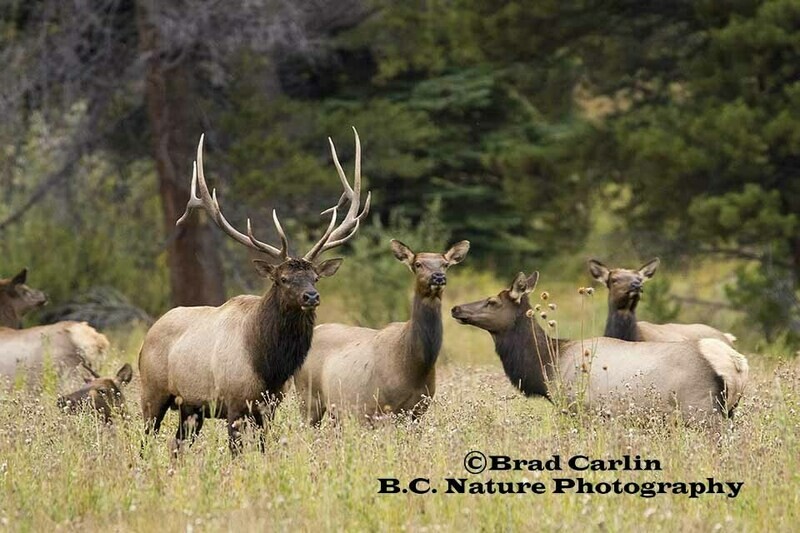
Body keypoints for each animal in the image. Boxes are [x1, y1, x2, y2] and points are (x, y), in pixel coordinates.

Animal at [138, 129, 370, 453]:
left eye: (315, 278)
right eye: (282, 279)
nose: (311, 297)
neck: (268, 365)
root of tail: (148, 334)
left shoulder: (269, 405)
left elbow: (262, 449)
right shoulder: (234, 402)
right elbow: (236, 451)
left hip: (191, 408)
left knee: (177, 444)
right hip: (152, 392)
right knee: (145, 440)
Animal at [293, 239, 470, 424]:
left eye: (445, 264)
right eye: (418, 264)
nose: (438, 277)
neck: (414, 366)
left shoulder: (419, 410)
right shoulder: (380, 408)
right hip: (307, 396)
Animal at [451, 271, 749, 425]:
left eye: (492, 301)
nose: (456, 308)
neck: (547, 365)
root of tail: (736, 363)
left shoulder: (579, 409)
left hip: (702, 412)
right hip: (728, 411)